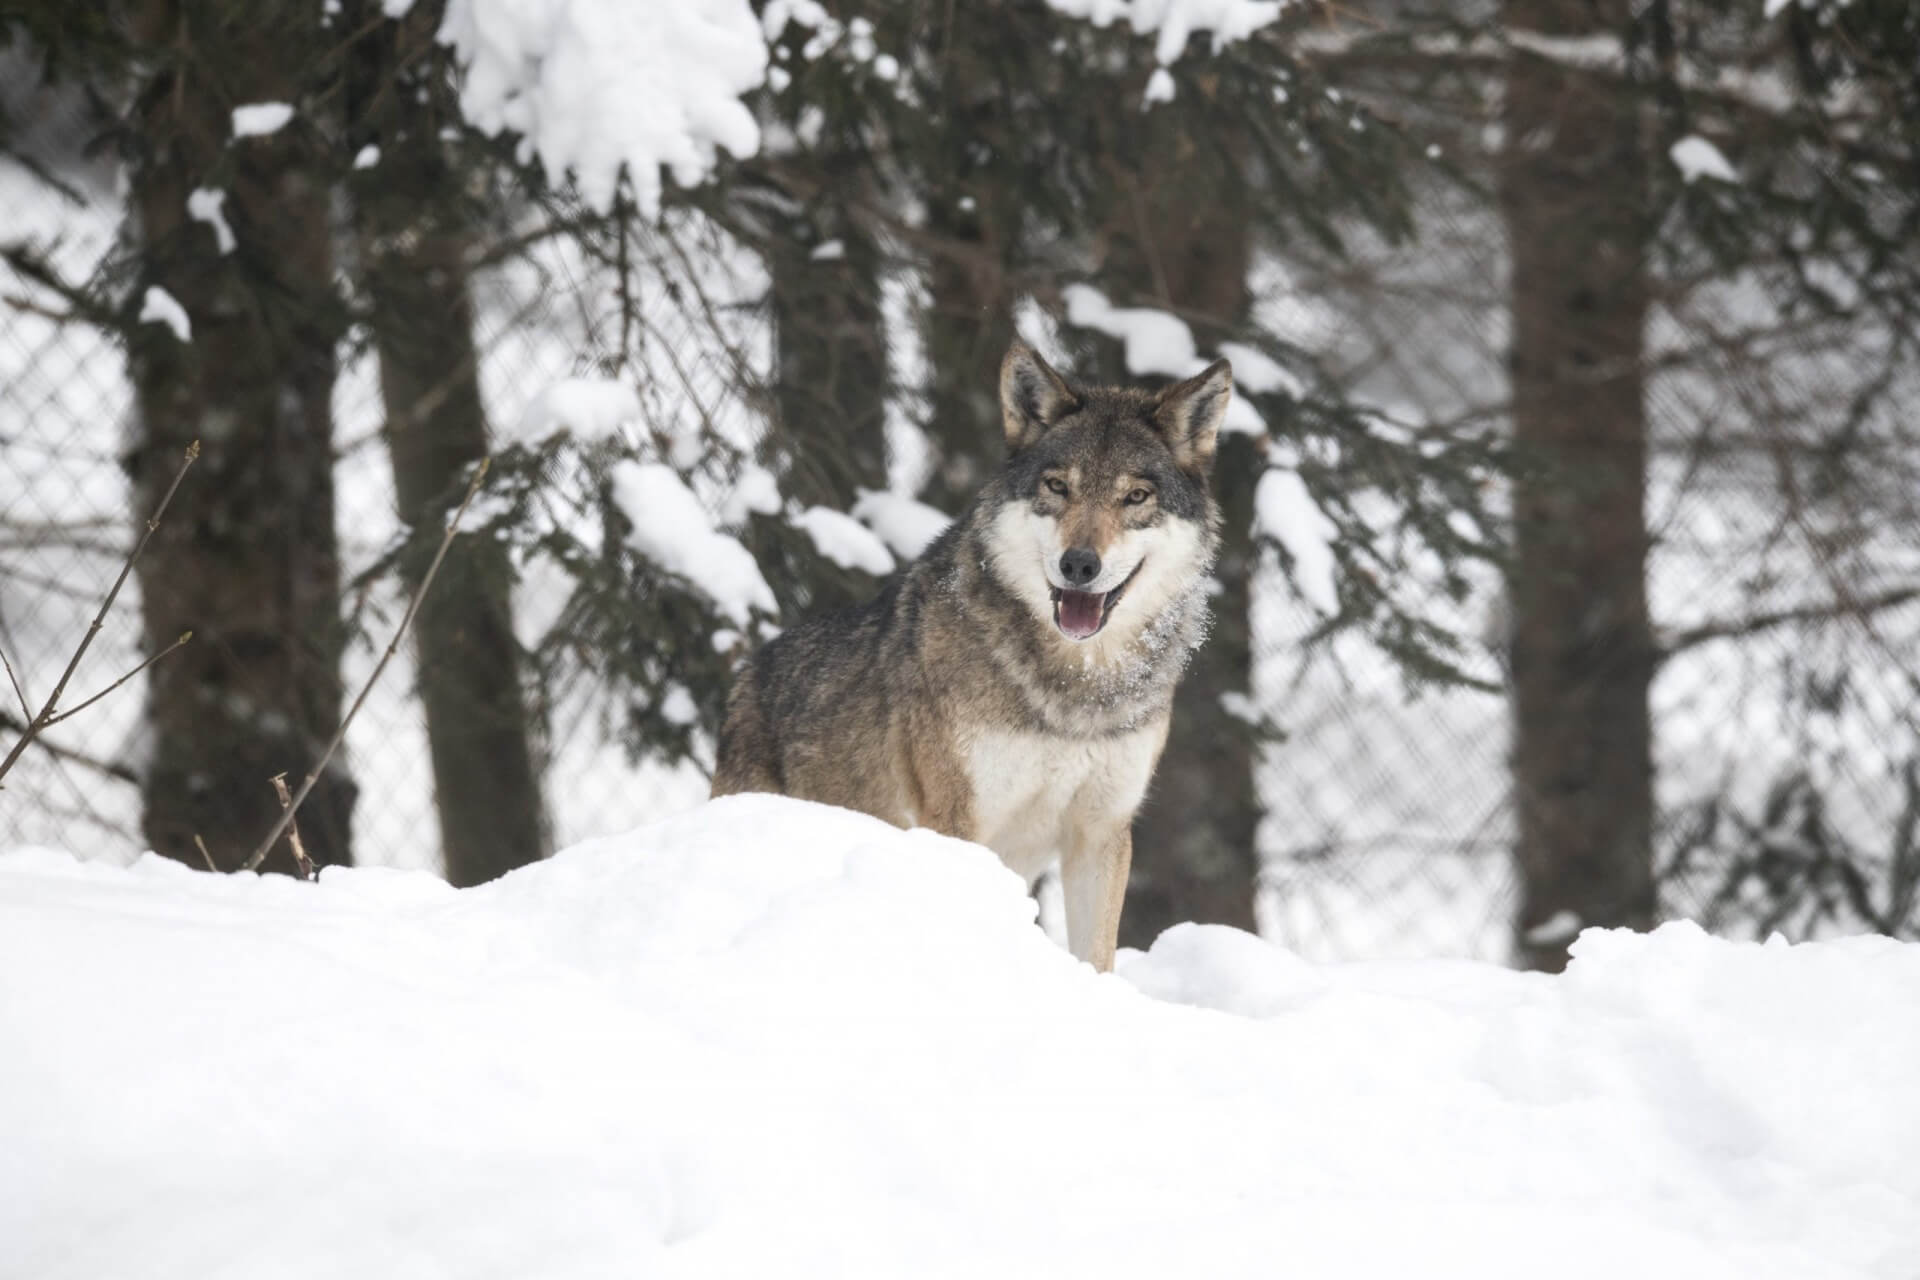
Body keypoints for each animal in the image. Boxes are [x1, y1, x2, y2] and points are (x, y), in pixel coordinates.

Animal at [718, 339, 1228, 971]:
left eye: (1135, 496)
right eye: (1057, 487)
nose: (1079, 565)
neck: (1072, 693)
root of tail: (745, 677)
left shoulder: (1101, 832)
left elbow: (1097, 956)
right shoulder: (957, 819)